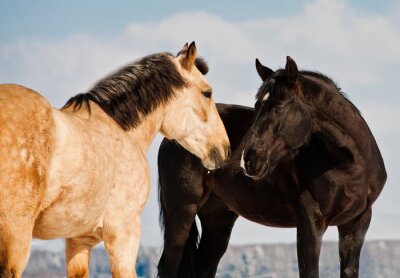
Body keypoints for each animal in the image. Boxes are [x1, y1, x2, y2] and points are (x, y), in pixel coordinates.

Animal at [158, 57, 386, 278]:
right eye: (258, 105)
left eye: (279, 106)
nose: (249, 161)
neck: (349, 167)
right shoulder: (310, 223)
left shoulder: (356, 224)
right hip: (182, 212)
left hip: (217, 220)